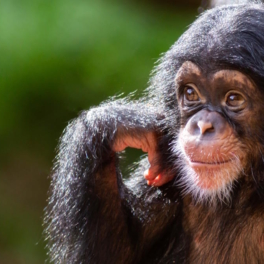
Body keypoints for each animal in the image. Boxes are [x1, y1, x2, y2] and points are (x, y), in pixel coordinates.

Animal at [44, 2, 264, 264]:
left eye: (233, 98)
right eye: (191, 93)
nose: (203, 126)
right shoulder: (168, 172)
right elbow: (114, 252)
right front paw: (120, 122)